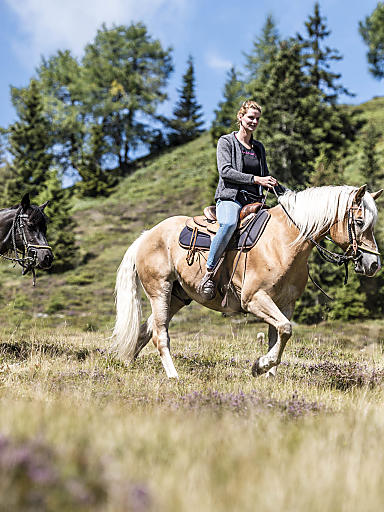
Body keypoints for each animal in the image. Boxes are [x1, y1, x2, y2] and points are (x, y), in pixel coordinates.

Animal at [111, 186, 380, 378]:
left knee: (146, 330)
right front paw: (260, 366)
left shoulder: (285, 304)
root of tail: (146, 236)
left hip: (178, 296)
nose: (373, 264)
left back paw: (127, 363)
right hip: (160, 291)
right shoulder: (254, 299)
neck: (284, 241)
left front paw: (268, 375)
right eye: (359, 222)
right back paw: (173, 376)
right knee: (160, 335)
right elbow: (285, 329)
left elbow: (278, 335)